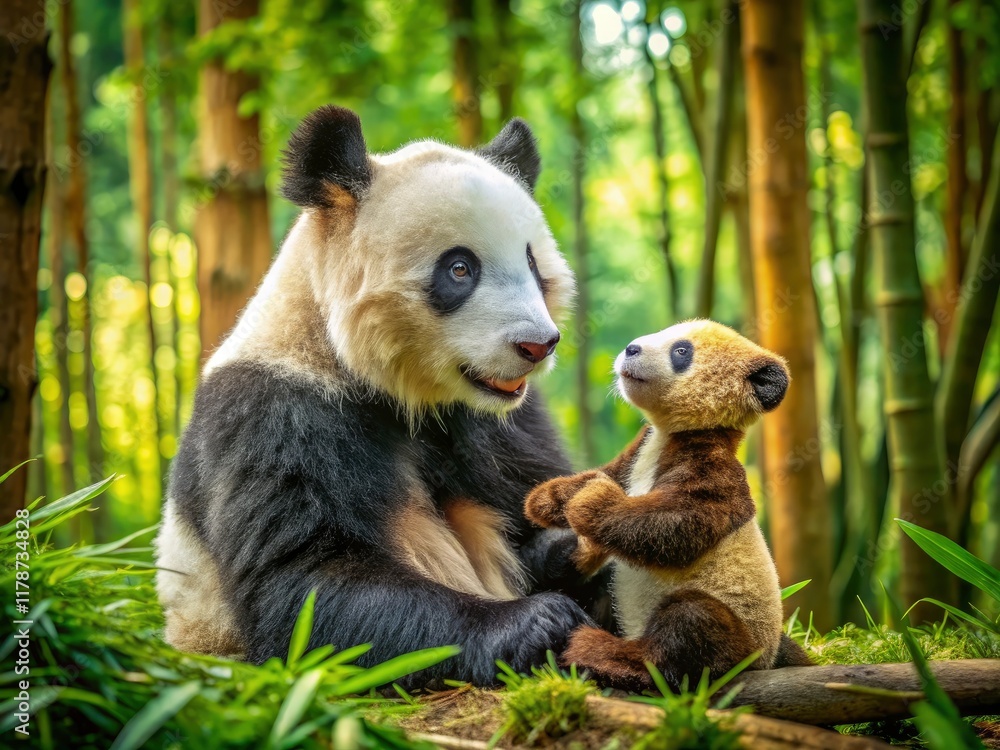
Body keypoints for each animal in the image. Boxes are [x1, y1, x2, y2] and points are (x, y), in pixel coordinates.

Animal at [154, 105, 606, 687]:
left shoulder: (501, 425)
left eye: (533, 264)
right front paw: (534, 623)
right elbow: (306, 583)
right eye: (460, 268)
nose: (536, 344)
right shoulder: (275, 411)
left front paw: (577, 546)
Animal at [525, 319, 813, 691]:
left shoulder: (712, 466)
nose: (631, 348)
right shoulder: (638, 452)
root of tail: (766, 659)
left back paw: (600, 650)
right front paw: (548, 498)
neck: (669, 434)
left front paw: (591, 501)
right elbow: (610, 472)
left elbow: (676, 525)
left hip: (739, 632)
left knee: (688, 630)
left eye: (681, 351)